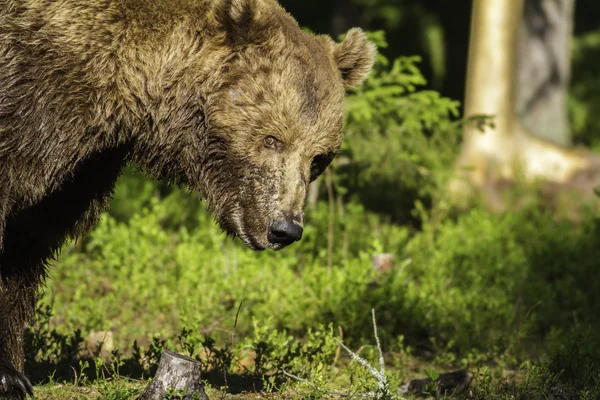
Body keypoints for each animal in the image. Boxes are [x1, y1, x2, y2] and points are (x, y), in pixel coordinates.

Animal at [0, 0, 376, 396]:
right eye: (272, 138)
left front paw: (15, 372)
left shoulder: (82, 167)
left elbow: (29, 243)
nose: (284, 228)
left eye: (318, 157)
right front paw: (10, 373)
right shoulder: (38, 92)